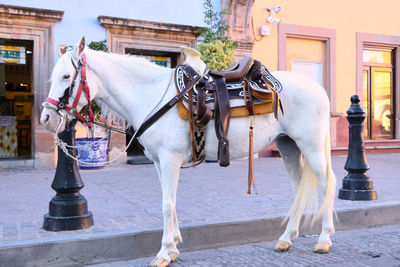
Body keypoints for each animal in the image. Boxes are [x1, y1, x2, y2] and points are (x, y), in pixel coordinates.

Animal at [40, 36, 336, 267]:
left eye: (66, 76)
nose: (46, 118)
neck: (150, 95)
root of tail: (319, 89)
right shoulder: (158, 162)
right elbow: (169, 201)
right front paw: (172, 249)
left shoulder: (170, 159)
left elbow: (166, 204)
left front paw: (163, 253)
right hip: (288, 146)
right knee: (299, 189)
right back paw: (286, 239)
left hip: (310, 146)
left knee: (327, 184)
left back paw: (324, 239)